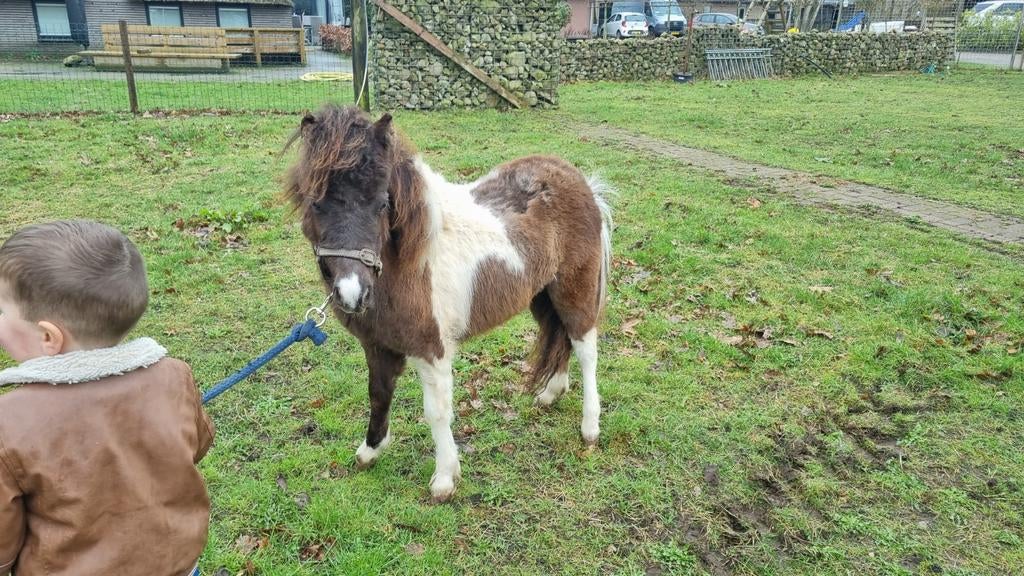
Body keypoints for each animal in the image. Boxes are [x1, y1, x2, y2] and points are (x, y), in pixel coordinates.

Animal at [284, 104, 613, 502]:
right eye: (316, 203)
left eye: (382, 204)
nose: (352, 293)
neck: (408, 262)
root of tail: (579, 180)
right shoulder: (378, 346)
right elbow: (378, 394)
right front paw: (370, 451)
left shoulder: (431, 351)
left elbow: (437, 412)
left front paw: (444, 479)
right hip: (541, 295)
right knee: (559, 337)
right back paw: (551, 393)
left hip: (574, 291)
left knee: (585, 349)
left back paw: (590, 428)